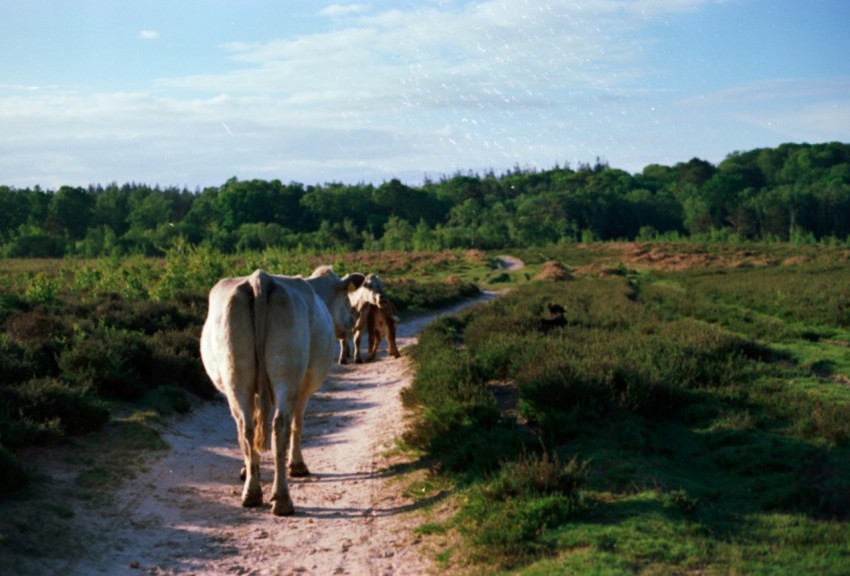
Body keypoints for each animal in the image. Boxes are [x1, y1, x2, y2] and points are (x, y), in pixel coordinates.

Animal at [199, 266, 364, 516]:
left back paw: (252, 493)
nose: (351, 320)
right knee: (281, 426)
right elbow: (298, 423)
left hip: (236, 378)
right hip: (286, 375)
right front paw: (297, 465)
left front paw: (248, 469)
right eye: (346, 296)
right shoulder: (303, 386)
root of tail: (260, 278)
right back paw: (282, 499)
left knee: (246, 427)